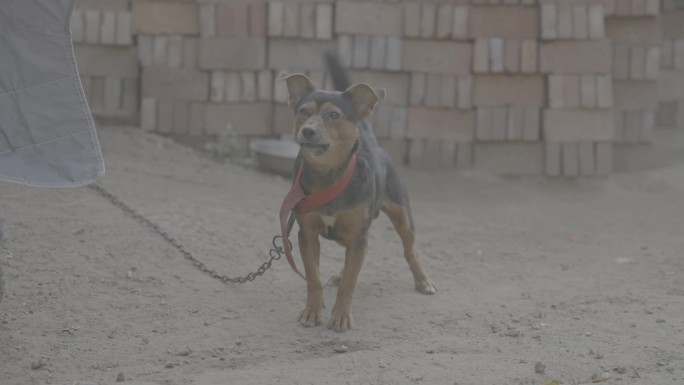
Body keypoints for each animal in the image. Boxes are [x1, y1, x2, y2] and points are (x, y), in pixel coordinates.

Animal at [284, 52, 438, 332]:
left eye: (333, 115)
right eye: (303, 111)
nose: (308, 130)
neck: (328, 175)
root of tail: (373, 144)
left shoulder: (358, 236)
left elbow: (350, 284)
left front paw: (341, 316)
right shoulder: (307, 235)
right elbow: (313, 278)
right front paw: (312, 310)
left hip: (402, 216)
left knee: (410, 250)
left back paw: (423, 281)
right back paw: (339, 273)